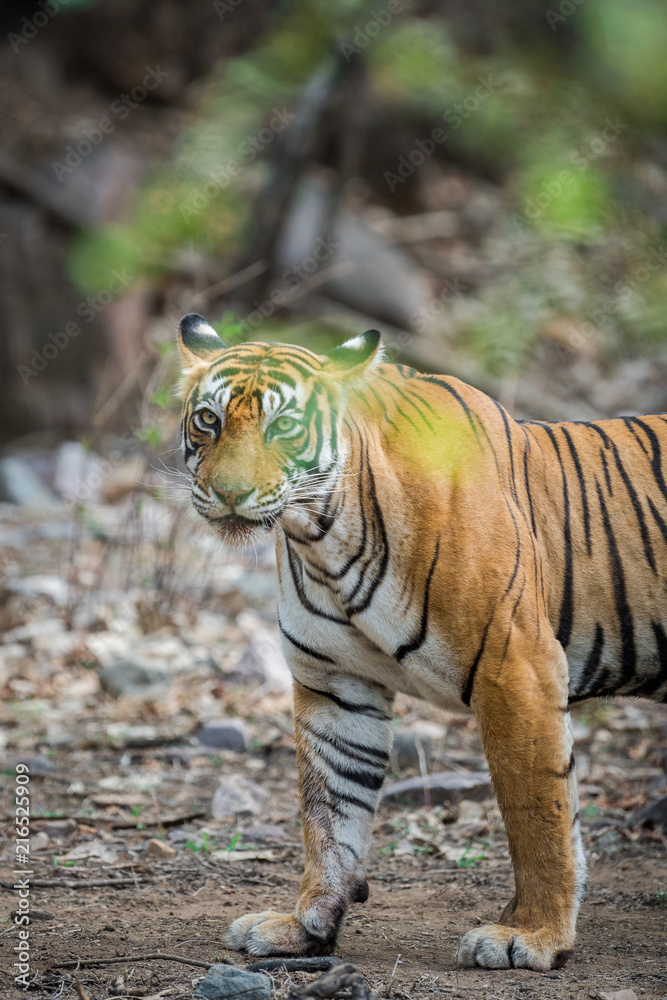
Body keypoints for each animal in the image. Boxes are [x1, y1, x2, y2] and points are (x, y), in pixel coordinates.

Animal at [176, 311, 667, 972]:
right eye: (209, 419)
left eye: (283, 426)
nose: (228, 494)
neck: (322, 538)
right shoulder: (336, 683)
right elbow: (329, 810)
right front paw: (304, 927)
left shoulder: (519, 667)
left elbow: (537, 812)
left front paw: (532, 936)